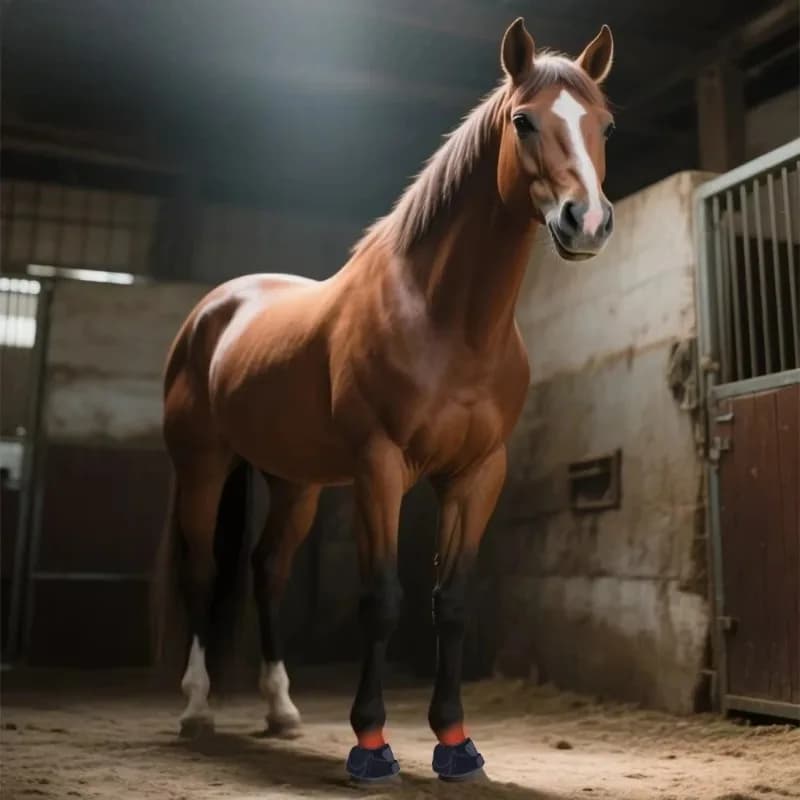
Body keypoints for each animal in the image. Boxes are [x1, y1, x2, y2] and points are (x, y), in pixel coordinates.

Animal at [157, 17, 615, 783]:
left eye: (603, 124)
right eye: (523, 120)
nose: (587, 222)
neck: (446, 319)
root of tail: (212, 311)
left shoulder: (477, 473)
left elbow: (450, 600)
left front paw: (456, 743)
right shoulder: (381, 466)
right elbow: (383, 599)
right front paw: (371, 745)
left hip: (296, 483)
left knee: (267, 570)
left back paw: (281, 710)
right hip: (202, 466)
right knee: (202, 570)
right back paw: (196, 709)